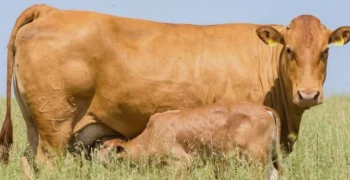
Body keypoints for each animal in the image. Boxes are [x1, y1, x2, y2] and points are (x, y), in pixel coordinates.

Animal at [0, 3, 350, 165]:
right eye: (289, 50)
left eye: (325, 50)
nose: (308, 94)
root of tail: (52, 10)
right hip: (55, 129)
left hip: (37, 125)